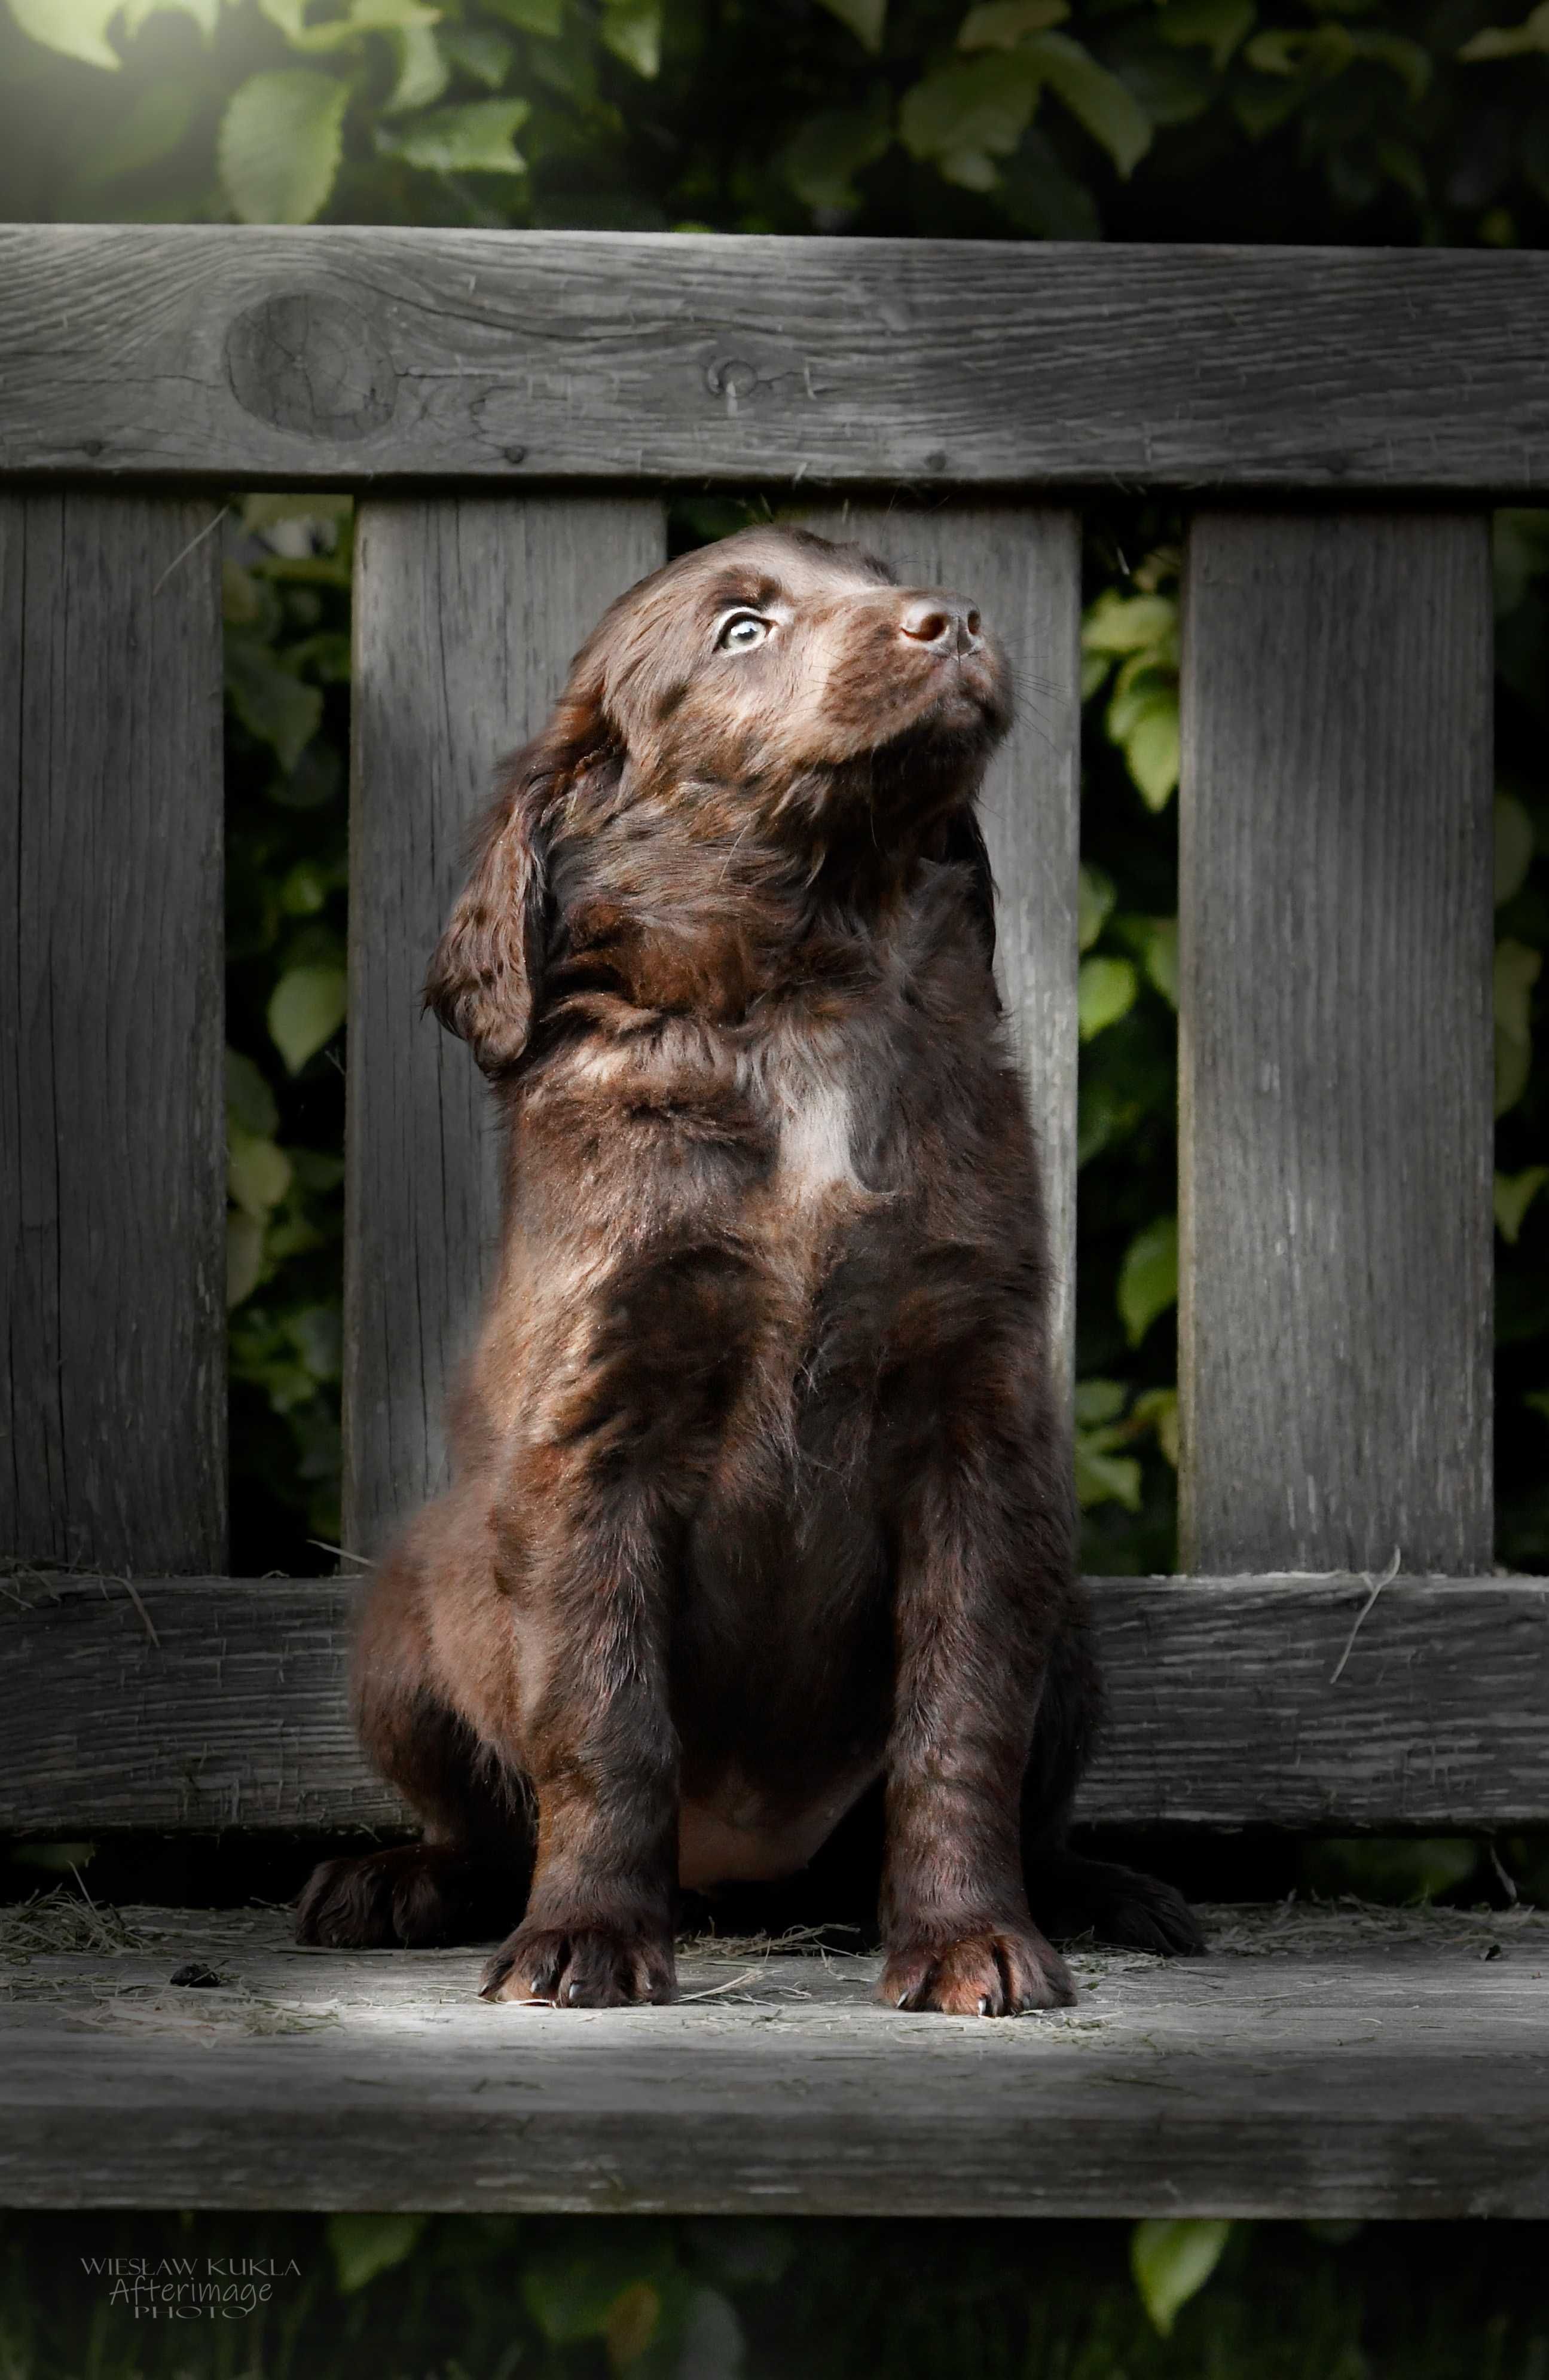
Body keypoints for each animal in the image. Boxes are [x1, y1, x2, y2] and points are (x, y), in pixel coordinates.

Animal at [300, 526, 1199, 2008]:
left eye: (882, 577)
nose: (953, 620)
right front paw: (584, 1936)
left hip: (1066, 1619)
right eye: (739, 629)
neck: (801, 991)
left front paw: (967, 1937)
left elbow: (960, 1720)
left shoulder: (974, 1422)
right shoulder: (598, 1416)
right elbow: (601, 1716)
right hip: (401, 1628)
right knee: (482, 1819)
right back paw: (401, 1878)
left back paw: (1101, 1889)